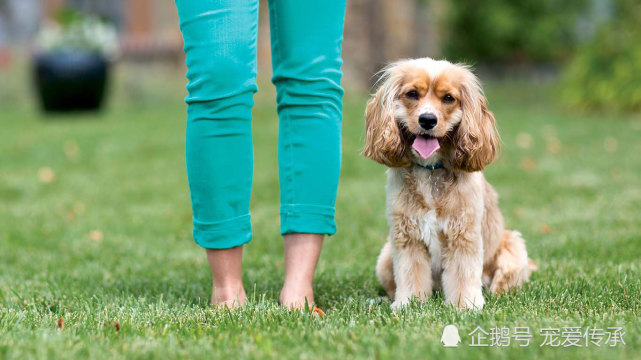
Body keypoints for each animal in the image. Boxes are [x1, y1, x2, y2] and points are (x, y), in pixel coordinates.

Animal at [360, 57, 536, 310]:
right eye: (412, 94)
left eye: (448, 98)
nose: (427, 120)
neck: (431, 171)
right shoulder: (407, 237)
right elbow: (410, 275)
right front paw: (407, 305)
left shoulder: (463, 234)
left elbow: (463, 275)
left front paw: (466, 306)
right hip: (384, 257)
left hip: (514, 246)